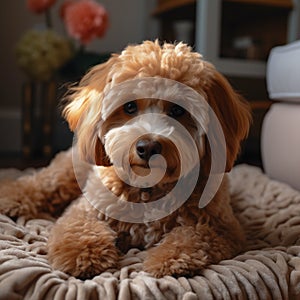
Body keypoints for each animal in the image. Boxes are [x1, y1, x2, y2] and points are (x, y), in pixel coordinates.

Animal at [0, 40, 251, 278]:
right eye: (130, 106)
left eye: (178, 111)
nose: (147, 147)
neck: (148, 189)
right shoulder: (85, 209)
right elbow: (80, 227)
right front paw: (84, 256)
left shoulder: (222, 227)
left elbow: (192, 236)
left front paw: (170, 259)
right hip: (70, 171)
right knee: (42, 182)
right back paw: (12, 198)